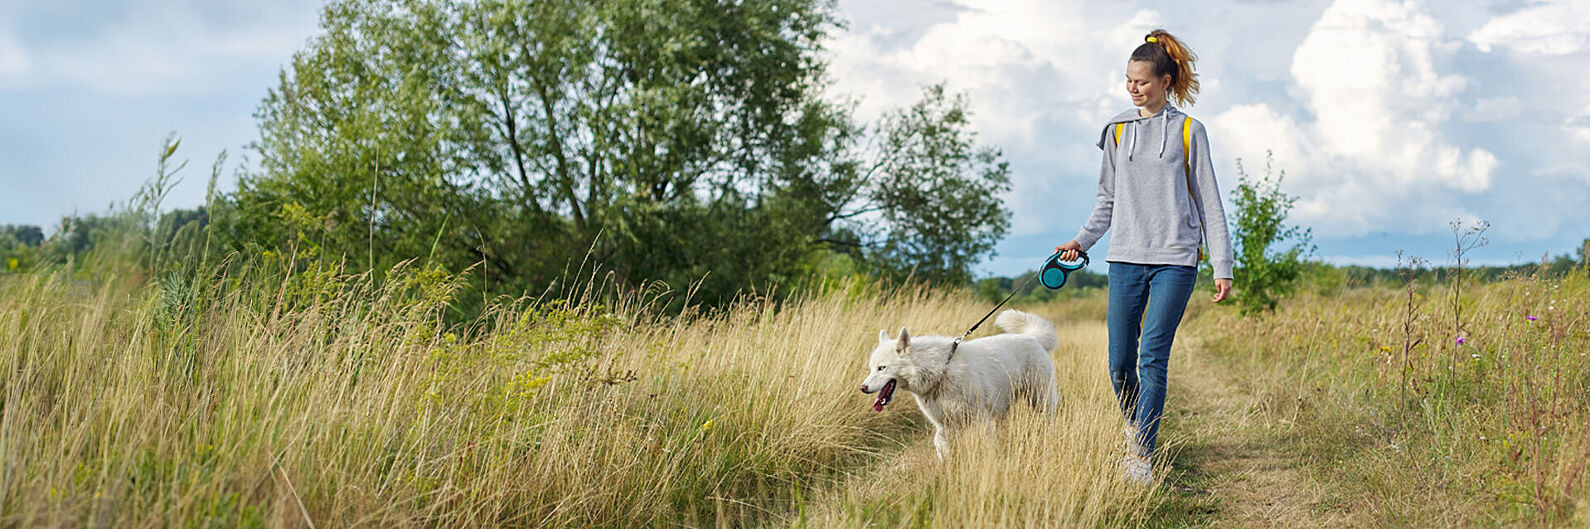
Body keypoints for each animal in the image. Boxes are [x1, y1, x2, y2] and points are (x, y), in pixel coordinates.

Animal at [858, 309, 1055, 457]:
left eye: (882, 368)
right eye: (871, 368)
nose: (862, 388)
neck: (941, 371)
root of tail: (1032, 337)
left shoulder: (980, 420)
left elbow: (986, 446)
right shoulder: (944, 426)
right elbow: (940, 445)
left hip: (1041, 401)